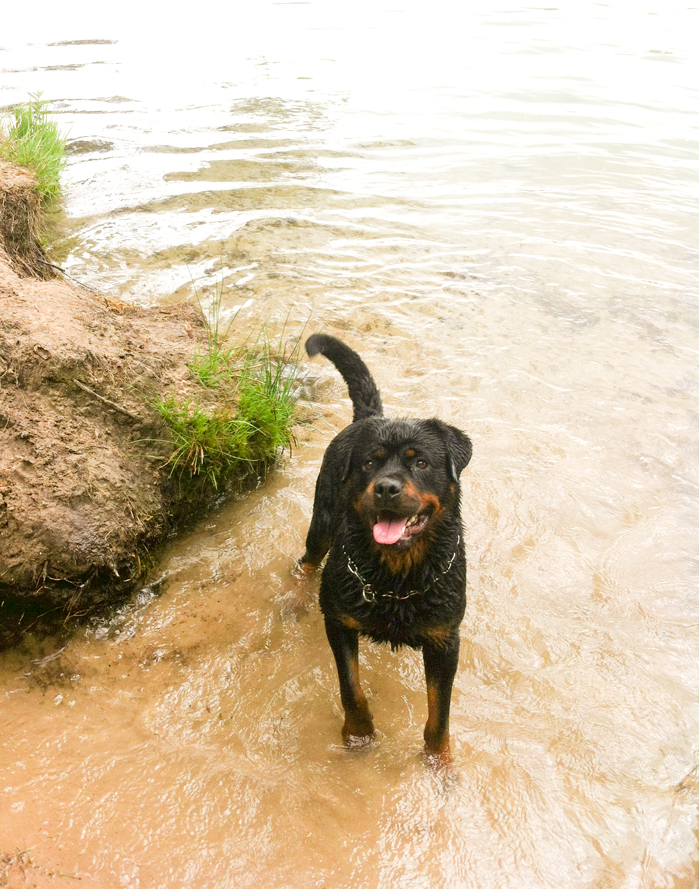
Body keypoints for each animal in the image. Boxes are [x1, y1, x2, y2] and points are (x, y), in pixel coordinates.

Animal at [298, 334, 474, 756]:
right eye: (369, 463)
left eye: (421, 462)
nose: (386, 488)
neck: (397, 574)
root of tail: (366, 416)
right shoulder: (338, 622)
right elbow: (351, 687)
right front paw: (358, 731)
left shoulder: (445, 640)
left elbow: (439, 714)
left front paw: (438, 761)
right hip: (323, 521)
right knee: (306, 561)